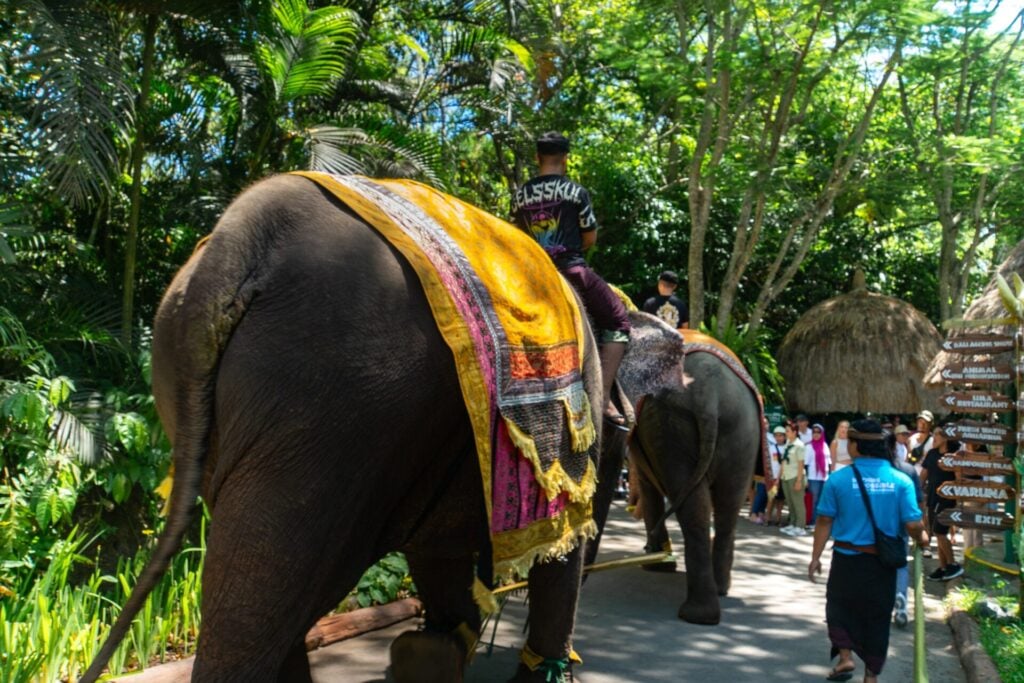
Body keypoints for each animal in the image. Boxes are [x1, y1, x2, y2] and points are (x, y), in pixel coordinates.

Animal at [588, 311, 763, 626]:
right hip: (739, 429)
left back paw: (696, 612)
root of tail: (709, 394)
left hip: (676, 425)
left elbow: (649, 488)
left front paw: (656, 561)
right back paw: (719, 591)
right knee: (728, 503)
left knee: (695, 507)